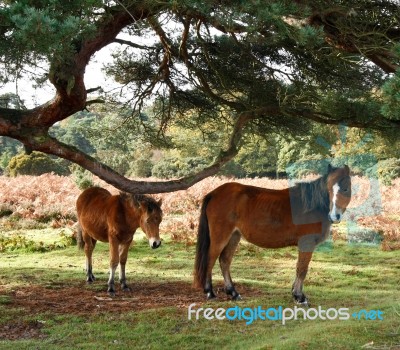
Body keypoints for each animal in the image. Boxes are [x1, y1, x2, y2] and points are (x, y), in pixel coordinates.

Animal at [194, 164, 350, 304]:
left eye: (346, 188)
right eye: (328, 188)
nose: (334, 216)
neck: (312, 205)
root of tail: (214, 193)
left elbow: (300, 268)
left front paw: (295, 293)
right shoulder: (306, 243)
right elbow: (302, 269)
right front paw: (299, 297)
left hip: (234, 236)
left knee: (225, 261)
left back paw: (233, 293)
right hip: (220, 237)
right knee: (210, 259)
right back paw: (210, 292)